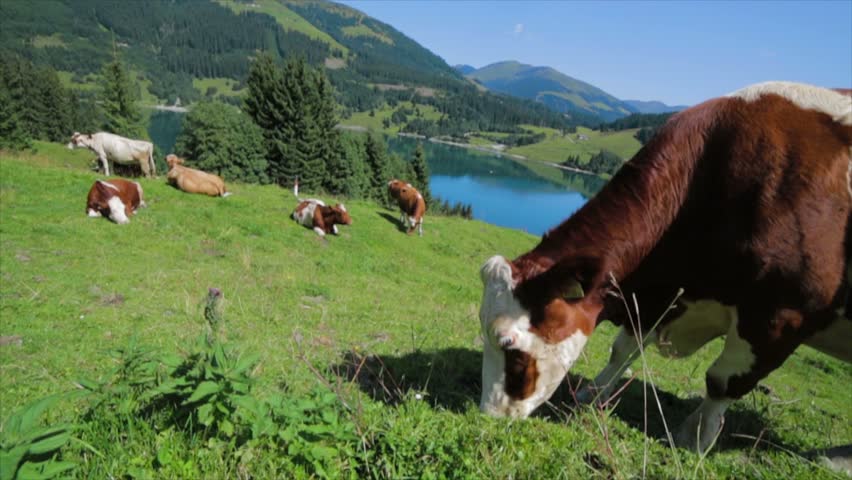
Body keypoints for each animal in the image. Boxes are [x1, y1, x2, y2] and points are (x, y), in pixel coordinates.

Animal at [478, 81, 852, 453]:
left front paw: (694, 438)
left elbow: (722, 382)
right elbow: (623, 350)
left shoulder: (780, 317)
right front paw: (592, 394)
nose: (489, 415)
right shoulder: (655, 296)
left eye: (510, 346)